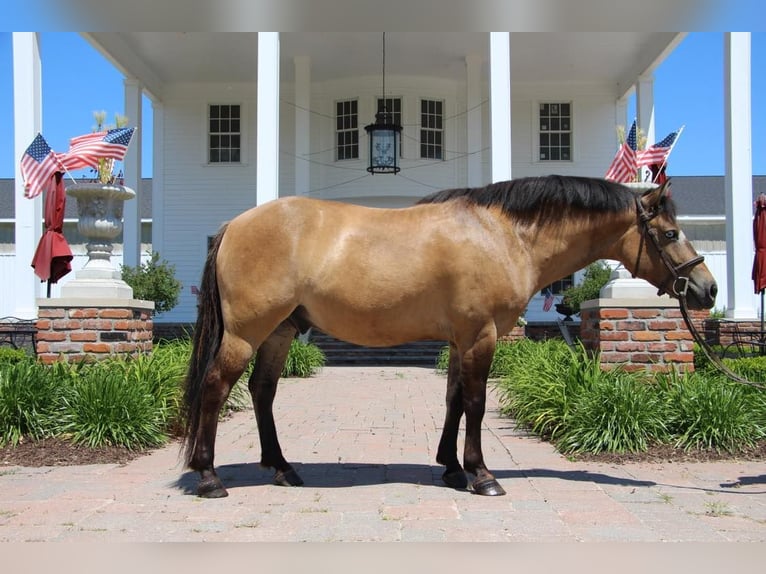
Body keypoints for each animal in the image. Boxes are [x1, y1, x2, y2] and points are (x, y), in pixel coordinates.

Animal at [183, 176, 716, 500]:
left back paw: (282, 469)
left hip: (279, 331)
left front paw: (452, 468)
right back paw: (209, 477)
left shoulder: (461, 340)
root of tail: (234, 225)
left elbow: (454, 400)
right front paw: (482, 475)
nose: (707, 289)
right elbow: (476, 404)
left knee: (262, 392)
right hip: (247, 332)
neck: (504, 234)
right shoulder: (481, 336)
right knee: (215, 388)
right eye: (670, 234)